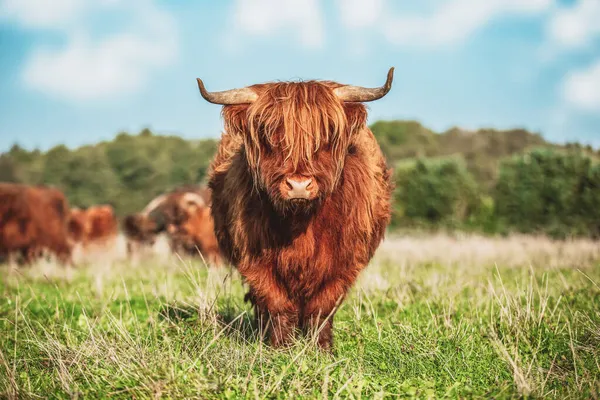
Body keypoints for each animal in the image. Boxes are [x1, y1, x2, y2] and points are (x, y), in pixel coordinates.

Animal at [197, 67, 394, 348]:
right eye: (268, 135)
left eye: (327, 134)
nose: (298, 185)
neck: (300, 222)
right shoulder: (253, 257)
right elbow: (276, 303)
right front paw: (280, 347)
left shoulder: (344, 261)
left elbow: (322, 307)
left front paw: (321, 348)